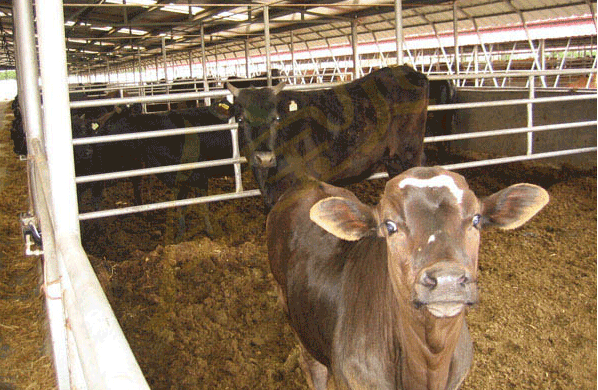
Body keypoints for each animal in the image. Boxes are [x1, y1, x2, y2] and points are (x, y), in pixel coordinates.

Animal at [229, 65, 432, 209]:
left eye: (276, 118)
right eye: (240, 119)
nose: (264, 158)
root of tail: (407, 70)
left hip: (409, 152)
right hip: (394, 158)